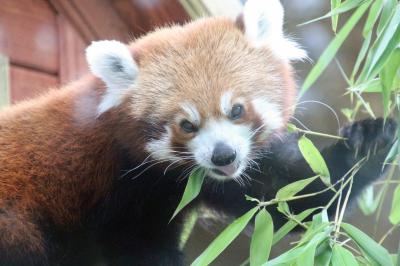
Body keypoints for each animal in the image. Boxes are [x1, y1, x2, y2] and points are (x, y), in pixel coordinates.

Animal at [0, 0, 396, 266]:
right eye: (187, 124)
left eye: (236, 110)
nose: (223, 155)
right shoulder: (120, 192)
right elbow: (138, 248)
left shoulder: (209, 179)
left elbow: (290, 196)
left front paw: (367, 142)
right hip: (18, 226)